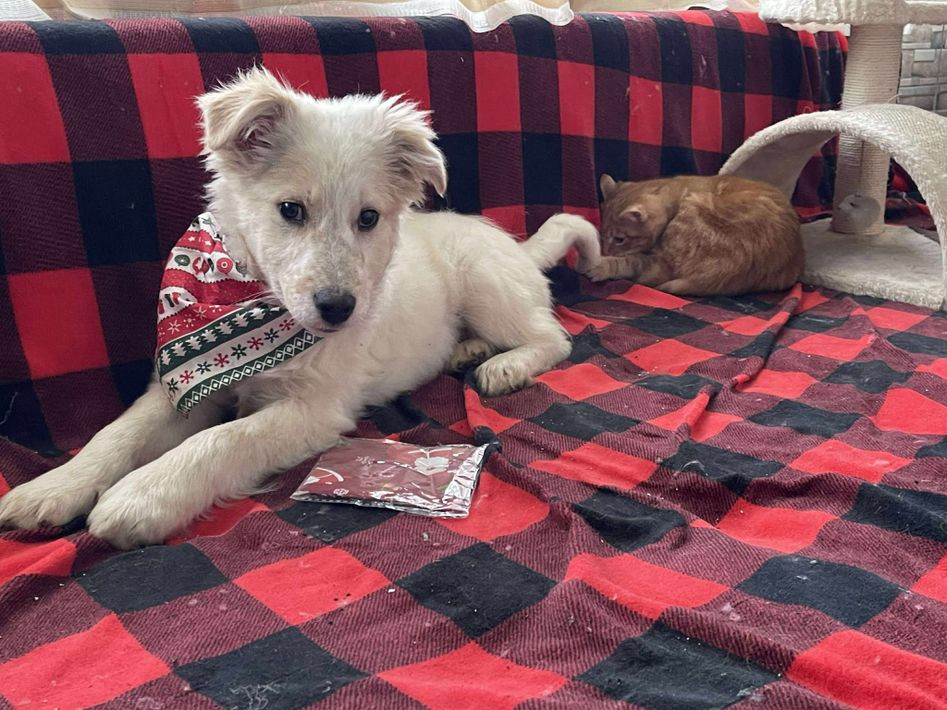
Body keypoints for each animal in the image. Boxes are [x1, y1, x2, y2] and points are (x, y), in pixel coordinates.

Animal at [0, 68, 601, 548]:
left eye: (368, 218)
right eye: (290, 209)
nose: (338, 309)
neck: (255, 304)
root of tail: (517, 249)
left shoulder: (315, 408)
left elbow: (222, 439)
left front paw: (142, 495)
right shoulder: (184, 385)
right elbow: (118, 432)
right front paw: (52, 487)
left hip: (484, 280)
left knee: (553, 335)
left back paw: (505, 364)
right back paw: (467, 350)